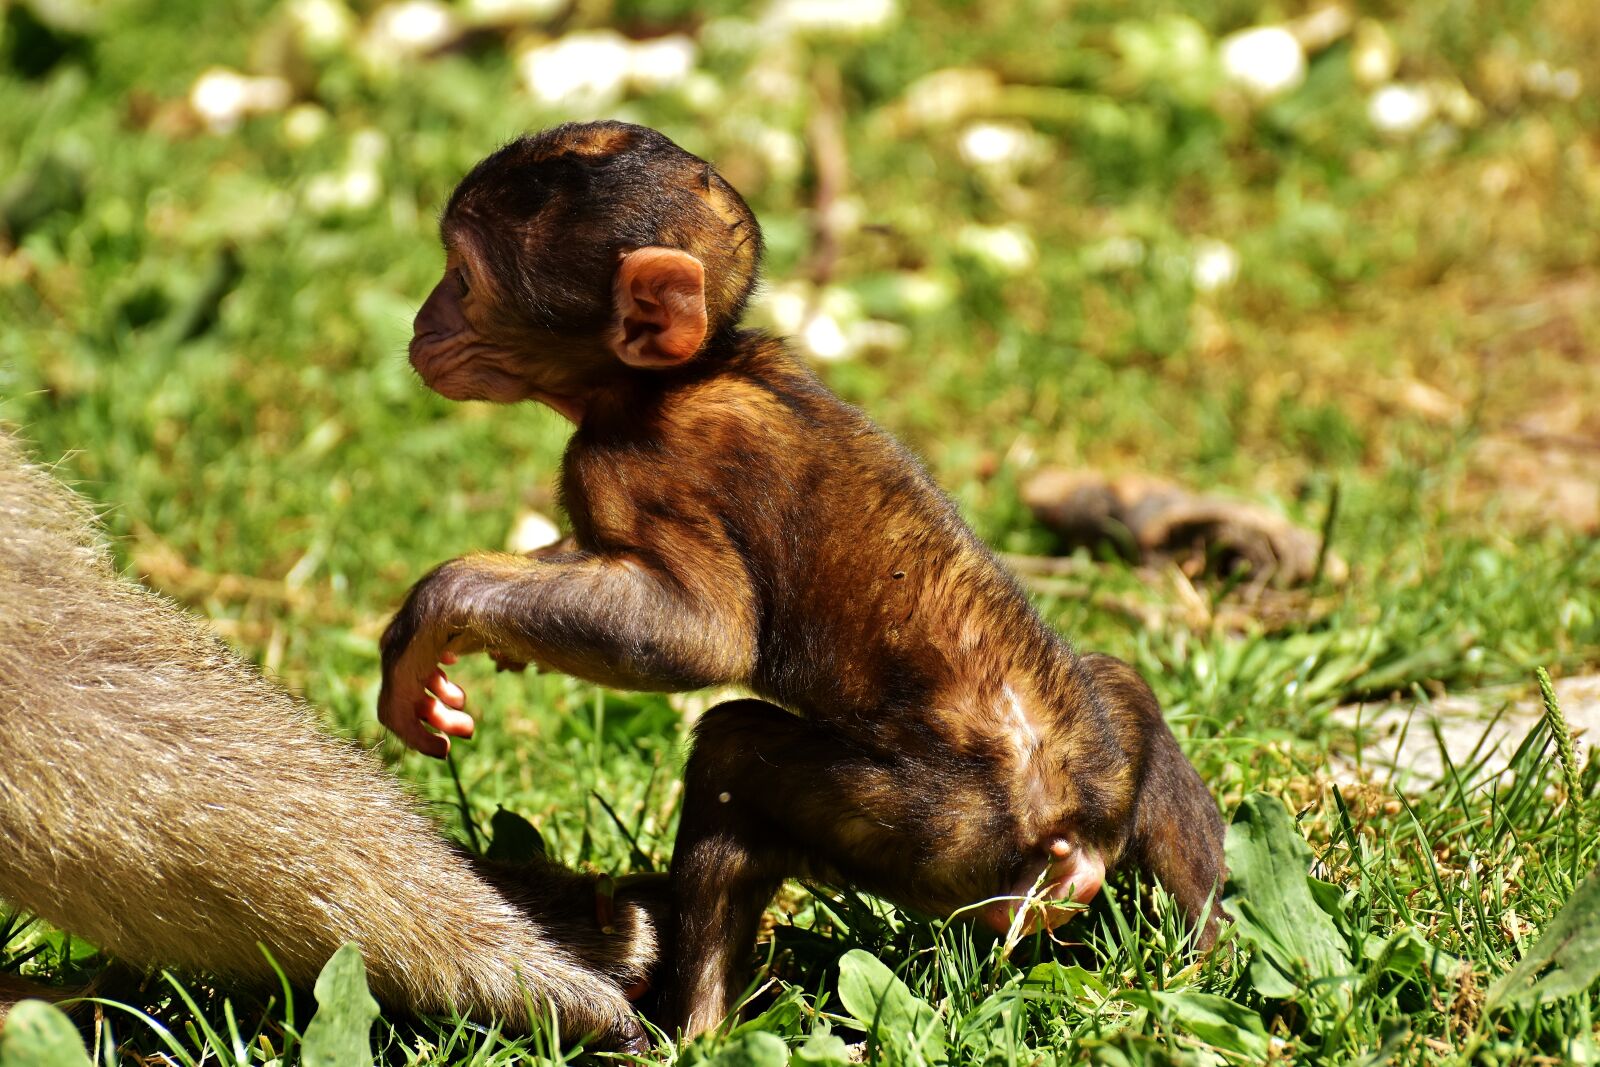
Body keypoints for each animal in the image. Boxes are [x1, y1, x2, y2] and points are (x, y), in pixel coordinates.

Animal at [378, 121, 1226, 1038]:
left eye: (464, 279)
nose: (422, 319)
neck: (682, 375)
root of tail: (1076, 836)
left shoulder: (631, 464)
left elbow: (701, 636)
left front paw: (441, 607)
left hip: (950, 836)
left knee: (733, 751)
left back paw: (695, 1032)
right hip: (1084, 772)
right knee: (1123, 686)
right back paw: (1208, 945)